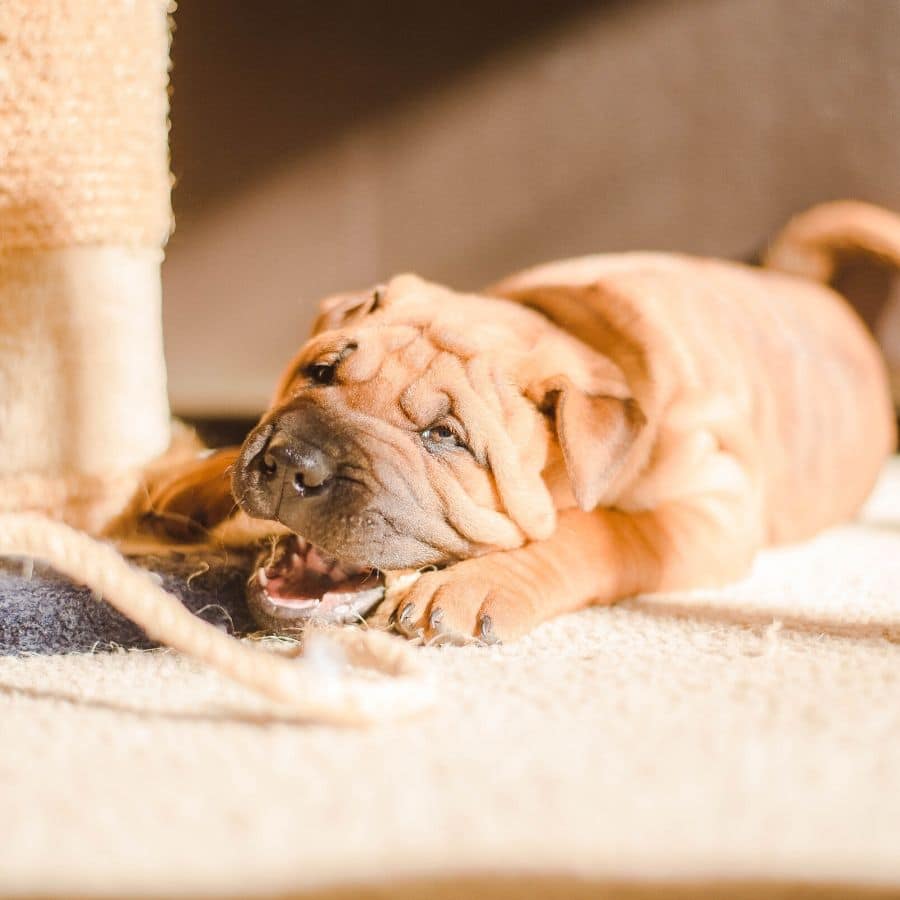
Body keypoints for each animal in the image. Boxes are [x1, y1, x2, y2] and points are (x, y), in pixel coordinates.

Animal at [141, 201, 892, 644]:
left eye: (444, 437)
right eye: (321, 373)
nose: (294, 462)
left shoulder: (712, 508)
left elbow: (600, 531)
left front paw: (475, 587)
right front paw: (186, 480)